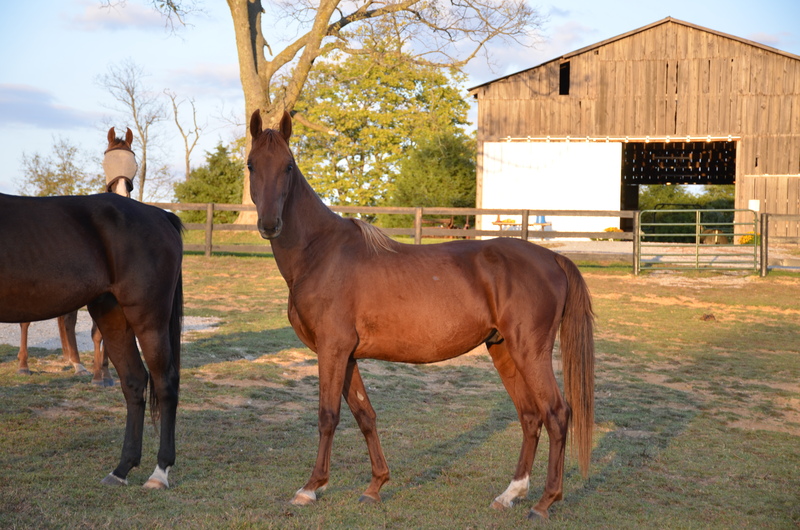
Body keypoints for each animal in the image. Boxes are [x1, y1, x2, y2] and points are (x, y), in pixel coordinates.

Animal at [0, 190, 183, 486]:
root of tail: (161, 215)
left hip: (149, 320)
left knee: (165, 382)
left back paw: (160, 472)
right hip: (111, 314)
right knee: (134, 381)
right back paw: (121, 469)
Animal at [14, 127, 138, 384]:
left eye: (134, 163)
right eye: (106, 162)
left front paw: (105, 373)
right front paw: (99, 376)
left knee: (67, 320)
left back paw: (77, 364)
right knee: (26, 321)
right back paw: (24, 365)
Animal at [248, 109, 592, 516]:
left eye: (288, 166)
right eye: (251, 164)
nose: (270, 224)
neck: (320, 252)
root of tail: (553, 258)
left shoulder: (332, 350)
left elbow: (327, 416)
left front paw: (311, 487)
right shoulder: (347, 356)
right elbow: (365, 415)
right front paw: (376, 485)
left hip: (530, 353)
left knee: (556, 414)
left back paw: (544, 501)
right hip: (504, 350)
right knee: (530, 415)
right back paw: (510, 493)